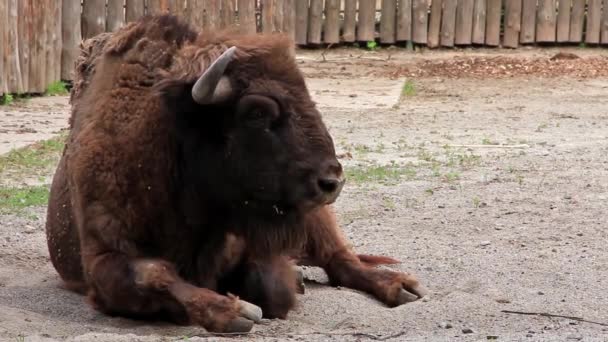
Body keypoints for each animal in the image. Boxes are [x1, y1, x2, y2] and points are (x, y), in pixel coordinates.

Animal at [45, 14, 428, 332]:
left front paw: (278, 288)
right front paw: (235, 312)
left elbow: (271, 287)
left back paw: (401, 286)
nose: (331, 180)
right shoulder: (103, 257)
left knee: (341, 259)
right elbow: (152, 274)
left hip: (316, 219)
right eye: (257, 113)